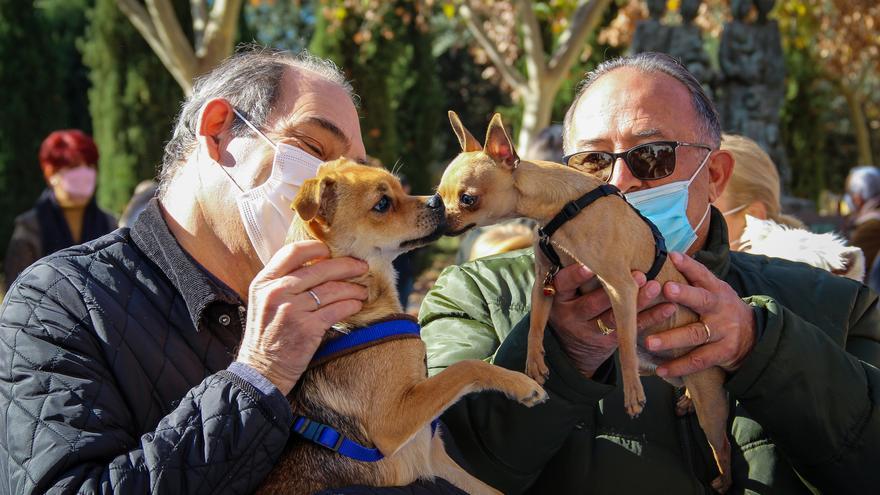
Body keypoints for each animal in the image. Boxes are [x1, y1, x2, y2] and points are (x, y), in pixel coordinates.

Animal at [254, 159, 548, 495]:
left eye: (399, 188)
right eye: (382, 204)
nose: (437, 200)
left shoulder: (435, 456)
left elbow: (493, 490)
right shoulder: (393, 423)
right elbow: (466, 368)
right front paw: (522, 384)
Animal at [436, 114, 732, 494]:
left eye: (468, 199)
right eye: (439, 197)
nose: (440, 217)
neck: (562, 210)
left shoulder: (622, 288)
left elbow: (624, 345)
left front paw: (632, 393)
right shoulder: (545, 285)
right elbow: (536, 326)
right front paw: (534, 364)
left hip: (711, 408)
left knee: (721, 445)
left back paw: (723, 480)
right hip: (668, 370)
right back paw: (684, 400)